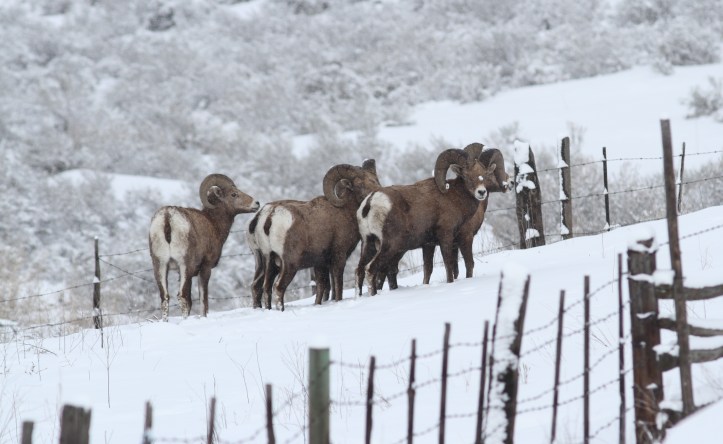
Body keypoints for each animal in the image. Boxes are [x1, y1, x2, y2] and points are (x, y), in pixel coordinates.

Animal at [149, 174, 260, 321]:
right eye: (233, 194)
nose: (256, 203)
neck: (213, 223)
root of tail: (167, 217)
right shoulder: (205, 268)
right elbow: (203, 300)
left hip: (160, 266)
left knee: (165, 298)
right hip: (185, 266)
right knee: (182, 297)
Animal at [247, 159, 381, 310]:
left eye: (374, 179)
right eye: (358, 184)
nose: (376, 192)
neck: (344, 212)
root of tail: (269, 216)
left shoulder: (320, 263)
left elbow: (322, 287)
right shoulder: (338, 257)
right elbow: (337, 284)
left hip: (268, 261)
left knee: (264, 287)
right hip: (289, 264)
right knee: (278, 287)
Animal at [356, 148, 501, 295]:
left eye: (485, 175)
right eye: (466, 176)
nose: (481, 192)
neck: (454, 198)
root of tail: (371, 202)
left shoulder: (428, 245)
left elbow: (428, 270)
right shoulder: (446, 237)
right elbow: (450, 265)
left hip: (368, 243)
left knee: (359, 271)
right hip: (390, 246)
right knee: (371, 269)